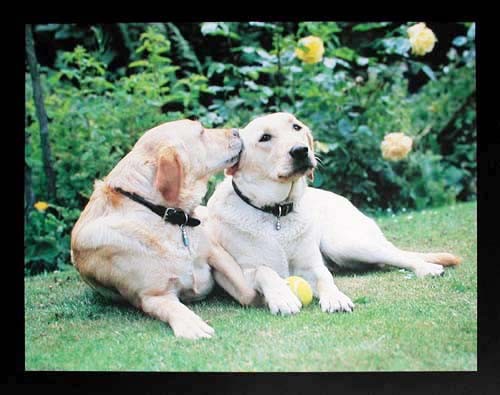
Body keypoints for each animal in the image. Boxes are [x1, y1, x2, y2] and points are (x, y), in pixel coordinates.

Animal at [69, 119, 254, 338]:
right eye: (201, 133)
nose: (237, 131)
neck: (163, 214)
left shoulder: (216, 253)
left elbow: (248, 292)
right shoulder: (153, 295)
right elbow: (175, 309)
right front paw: (192, 325)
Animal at [207, 112, 460, 316]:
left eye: (296, 127)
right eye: (265, 138)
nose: (301, 151)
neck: (276, 212)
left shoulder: (311, 266)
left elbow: (324, 277)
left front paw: (335, 298)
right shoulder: (243, 272)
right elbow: (265, 271)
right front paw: (283, 298)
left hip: (344, 243)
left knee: (399, 255)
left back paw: (426, 267)